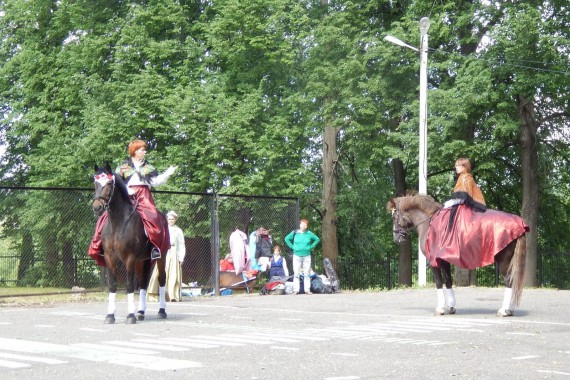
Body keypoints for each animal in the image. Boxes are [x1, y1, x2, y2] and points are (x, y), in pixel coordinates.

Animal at [92, 163, 166, 324]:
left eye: (109, 183)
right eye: (95, 183)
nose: (96, 207)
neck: (118, 223)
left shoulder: (129, 258)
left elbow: (129, 285)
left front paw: (130, 316)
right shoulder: (110, 258)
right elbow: (112, 285)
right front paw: (110, 315)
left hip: (161, 256)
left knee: (161, 279)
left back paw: (162, 311)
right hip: (142, 260)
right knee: (143, 282)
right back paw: (141, 312)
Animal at [386, 194, 524, 316]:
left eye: (394, 218)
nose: (396, 238)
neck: (429, 223)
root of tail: (519, 224)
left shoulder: (433, 261)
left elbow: (438, 282)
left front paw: (440, 308)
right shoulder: (444, 261)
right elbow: (448, 280)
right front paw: (451, 307)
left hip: (503, 260)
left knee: (508, 281)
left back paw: (504, 310)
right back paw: (510, 309)